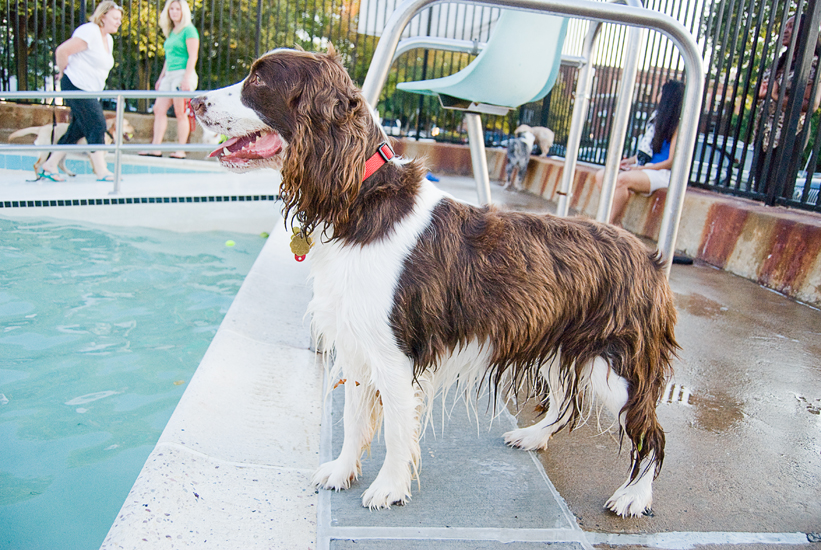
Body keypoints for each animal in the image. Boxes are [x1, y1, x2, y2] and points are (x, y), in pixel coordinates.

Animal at [7, 117, 135, 179]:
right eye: (128, 124)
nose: (135, 130)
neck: (106, 131)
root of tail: (41, 128)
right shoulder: (92, 152)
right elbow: (100, 163)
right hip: (46, 153)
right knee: (36, 165)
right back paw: (39, 176)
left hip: (62, 152)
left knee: (60, 164)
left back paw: (69, 173)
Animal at [192, 47, 680, 516]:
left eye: (259, 79)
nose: (194, 101)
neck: (361, 200)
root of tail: (649, 258)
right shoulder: (355, 344)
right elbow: (352, 419)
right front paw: (343, 472)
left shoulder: (395, 355)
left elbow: (395, 430)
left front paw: (388, 489)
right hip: (560, 344)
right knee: (566, 403)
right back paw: (534, 436)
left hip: (619, 368)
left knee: (652, 433)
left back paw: (634, 497)